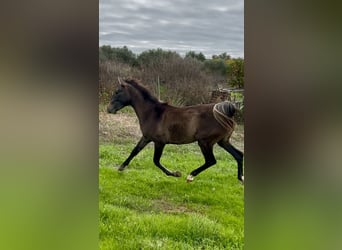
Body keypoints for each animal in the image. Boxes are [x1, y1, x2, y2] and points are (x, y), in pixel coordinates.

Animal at [107, 78, 243, 184]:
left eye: (117, 91)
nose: (109, 109)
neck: (152, 113)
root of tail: (227, 115)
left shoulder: (159, 142)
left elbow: (156, 161)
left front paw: (175, 173)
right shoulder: (146, 137)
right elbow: (134, 151)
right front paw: (121, 167)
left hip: (205, 142)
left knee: (211, 161)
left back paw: (190, 176)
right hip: (223, 141)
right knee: (239, 155)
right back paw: (241, 178)